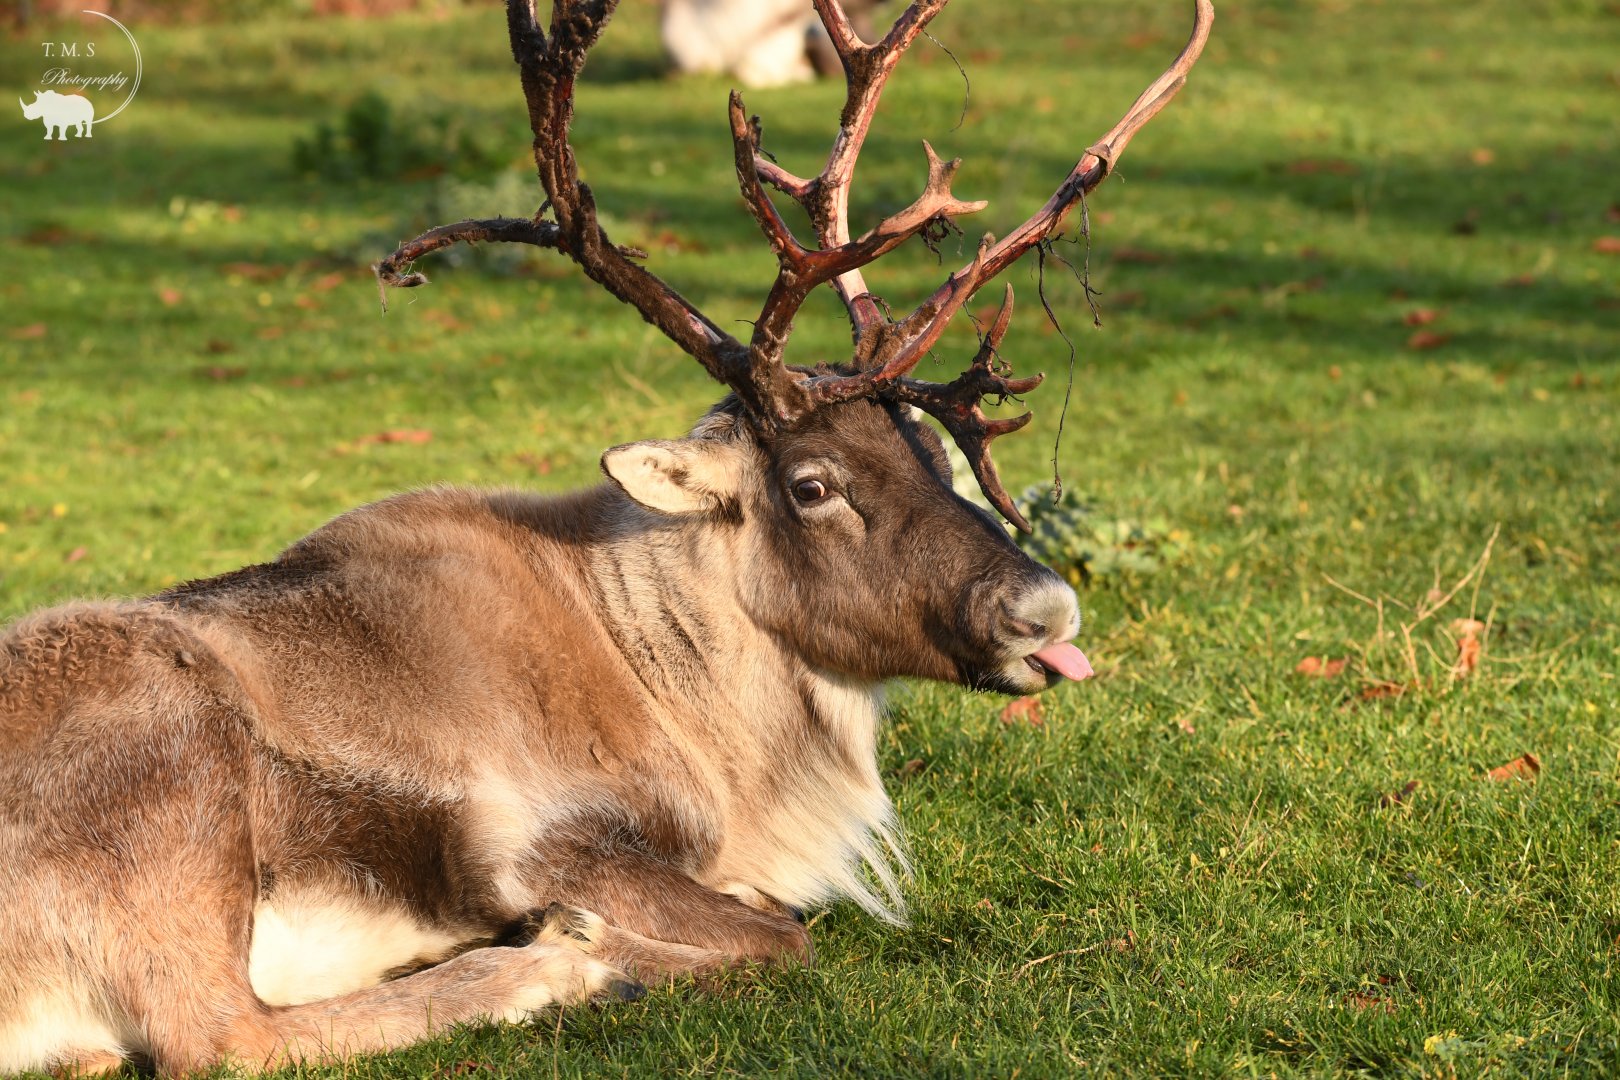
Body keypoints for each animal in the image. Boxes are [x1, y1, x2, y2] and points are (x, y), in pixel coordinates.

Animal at [0, 0, 1211, 1074]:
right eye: (813, 484)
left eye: (934, 453)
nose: (1044, 609)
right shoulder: (557, 837)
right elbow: (783, 935)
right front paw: (584, 942)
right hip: (178, 770)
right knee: (218, 1036)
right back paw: (554, 966)